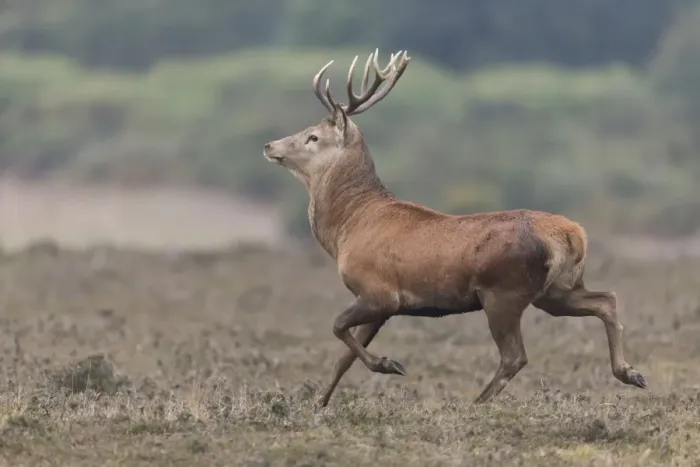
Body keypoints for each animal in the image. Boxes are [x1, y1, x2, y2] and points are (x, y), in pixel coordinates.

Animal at [263, 49, 647, 407]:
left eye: (313, 137)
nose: (269, 145)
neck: (346, 230)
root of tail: (572, 234)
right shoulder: (382, 305)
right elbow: (343, 357)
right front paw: (319, 403)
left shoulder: (378, 291)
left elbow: (337, 327)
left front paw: (389, 364)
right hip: (556, 290)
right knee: (606, 300)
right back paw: (631, 373)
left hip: (503, 291)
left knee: (515, 356)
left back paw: (476, 404)